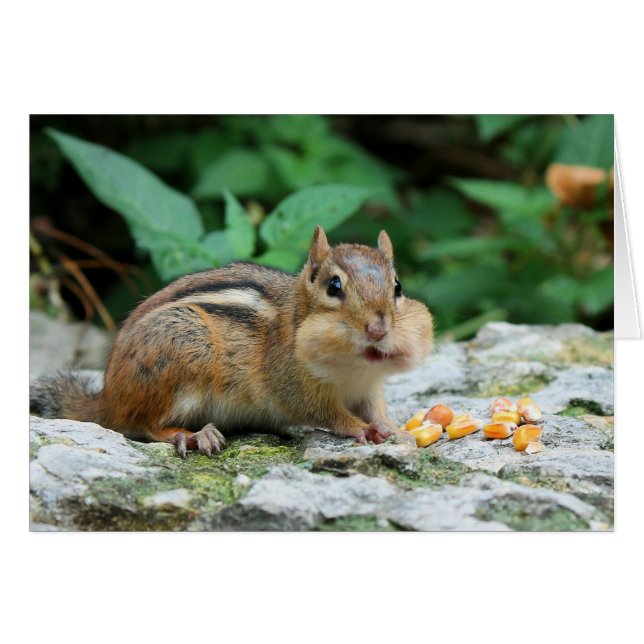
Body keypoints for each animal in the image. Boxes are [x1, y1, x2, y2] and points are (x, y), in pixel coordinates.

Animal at [30, 226, 434, 456]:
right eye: (334, 287)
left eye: (397, 287)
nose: (379, 329)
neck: (356, 367)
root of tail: (108, 397)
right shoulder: (293, 382)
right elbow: (326, 413)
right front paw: (360, 428)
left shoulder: (369, 388)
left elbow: (376, 409)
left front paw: (395, 429)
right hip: (183, 345)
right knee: (143, 424)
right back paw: (194, 436)